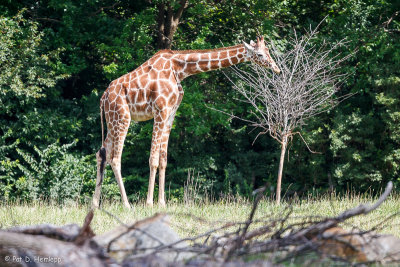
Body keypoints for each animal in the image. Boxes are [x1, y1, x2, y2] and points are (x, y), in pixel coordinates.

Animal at [93, 36, 282, 209]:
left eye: (268, 52)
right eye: (260, 54)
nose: (277, 69)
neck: (180, 69)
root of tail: (103, 97)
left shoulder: (170, 113)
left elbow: (163, 159)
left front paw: (162, 203)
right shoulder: (160, 110)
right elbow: (153, 159)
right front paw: (149, 203)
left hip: (112, 120)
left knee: (101, 153)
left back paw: (95, 204)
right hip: (122, 117)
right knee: (115, 158)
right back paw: (126, 205)